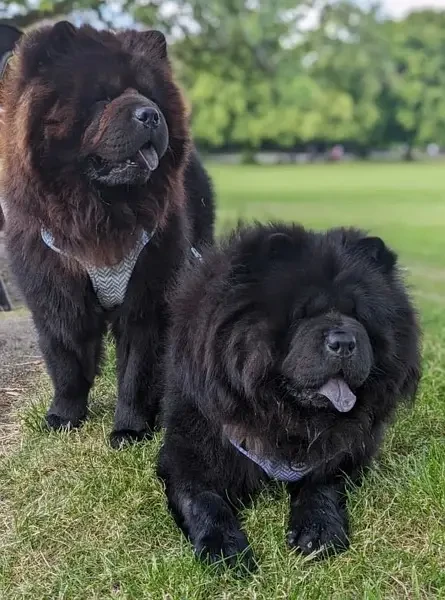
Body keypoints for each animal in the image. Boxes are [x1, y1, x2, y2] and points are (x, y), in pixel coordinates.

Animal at [0, 22, 213, 446]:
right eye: (103, 98)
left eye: (149, 95)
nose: (151, 115)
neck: (101, 215)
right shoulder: (55, 291)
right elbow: (66, 361)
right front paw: (64, 417)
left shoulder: (148, 296)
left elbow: (136, 372)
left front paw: (129, 430)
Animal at [159, 224, 420, 568]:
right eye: (302, 315)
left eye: (358, 316)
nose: (343, 341)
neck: (284, 419)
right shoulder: (189, 450)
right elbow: (202, 498)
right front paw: (224, 548)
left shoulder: (345, 451)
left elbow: (323, 483)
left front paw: (318, 530)